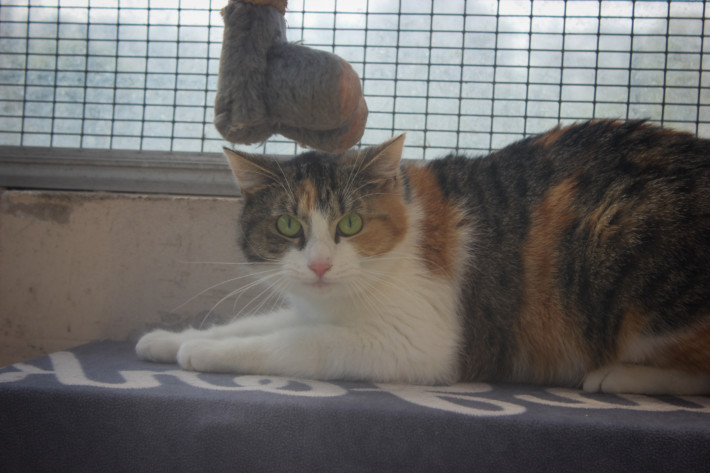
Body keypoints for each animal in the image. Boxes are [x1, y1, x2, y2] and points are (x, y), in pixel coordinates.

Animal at [136, 119, 710, 395]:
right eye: (287, 225)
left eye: (350, 224)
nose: (320, 265)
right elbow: (257, 324)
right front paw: (170, 340)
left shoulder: (419, 342)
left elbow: (301, 343)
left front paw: (204, 354)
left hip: (623, 249)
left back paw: (619, 375)